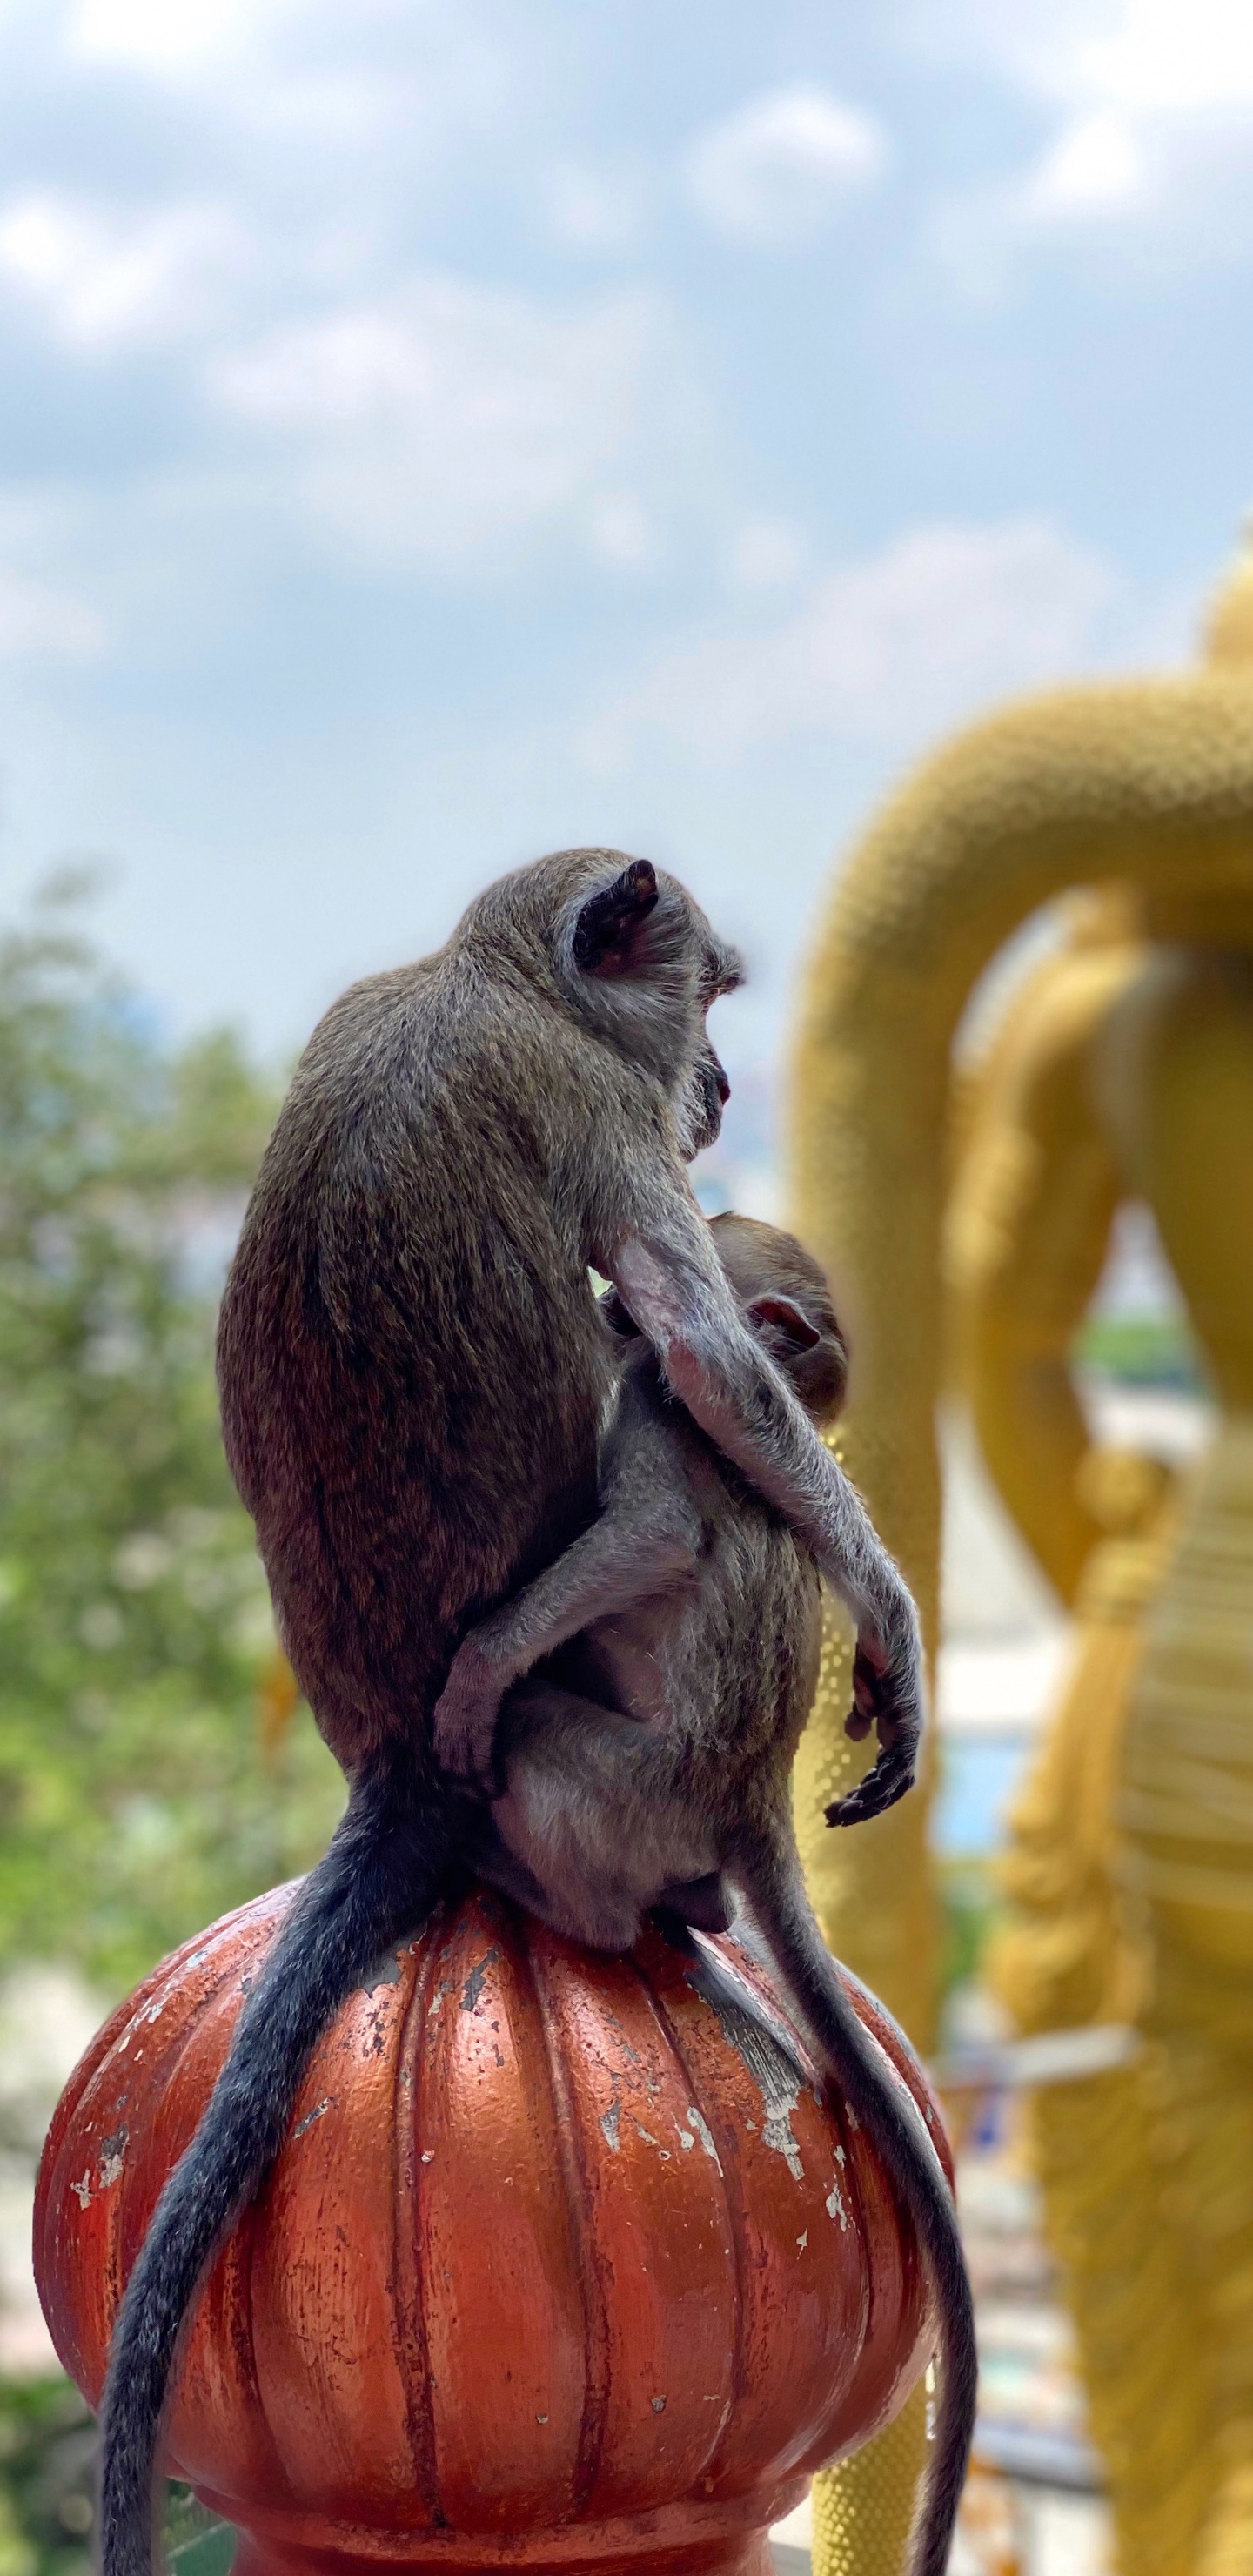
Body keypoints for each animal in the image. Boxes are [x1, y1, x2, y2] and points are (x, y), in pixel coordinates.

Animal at [100, 855, 917, 2576]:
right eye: (712, 998)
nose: (722, 1087)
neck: (481, 975)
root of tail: (394, 1775)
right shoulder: (603, 1111)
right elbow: (710, 1365)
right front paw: (891, 1626)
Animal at [435, 1211, 975, 2576]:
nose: (610, 1295)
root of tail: (743, 1805)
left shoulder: (654, 1407)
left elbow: (652, 1536)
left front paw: (483, 1663)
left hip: (634, 1785)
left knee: (540, 1742)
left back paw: (554, 1889)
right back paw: (699, 1911)